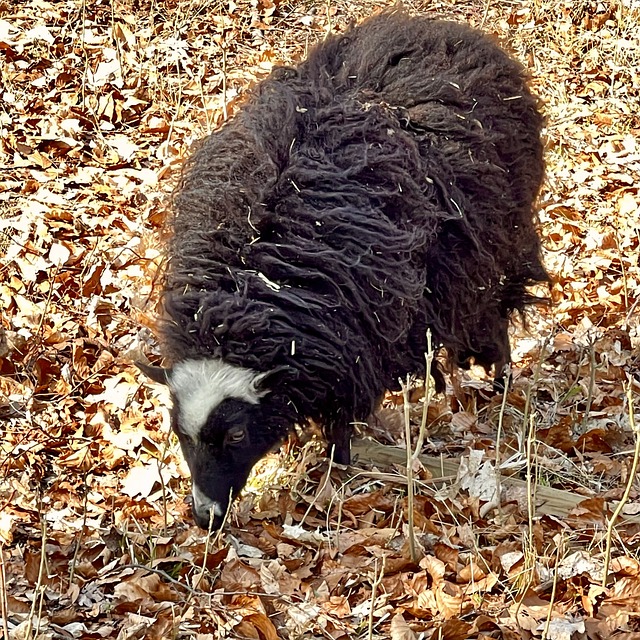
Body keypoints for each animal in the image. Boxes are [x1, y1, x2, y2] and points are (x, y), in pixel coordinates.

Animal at [140, 11, 552, 528]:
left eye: (236, 435)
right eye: (179, 432)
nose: (205, 516)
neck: (246, 292)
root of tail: (443, 29)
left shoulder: (354, 351)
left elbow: (341, 422)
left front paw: (337, 469)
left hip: (493, 244)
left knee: (494, 311)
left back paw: (500, 383)